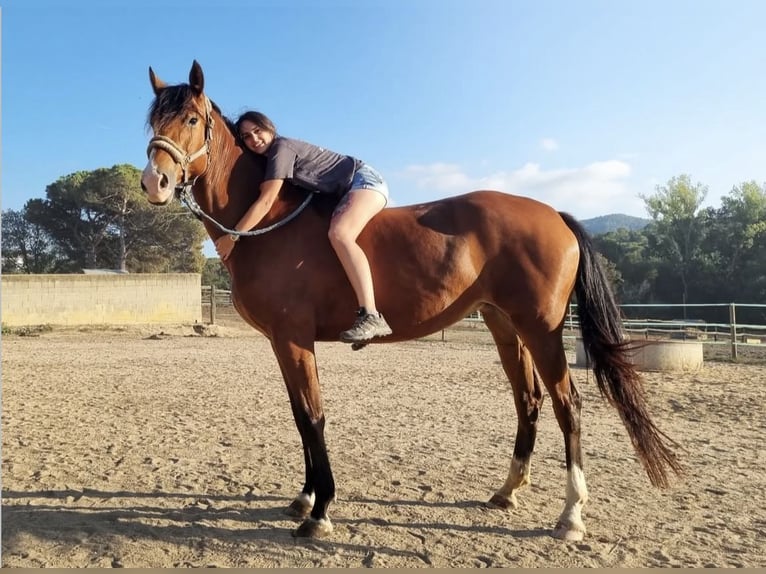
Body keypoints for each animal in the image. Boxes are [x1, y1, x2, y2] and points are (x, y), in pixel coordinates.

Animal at [140, 61, 681, 540]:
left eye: (191, 120)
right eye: (153, 121)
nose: (154, 182)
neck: (270, 223)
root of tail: (553, 213)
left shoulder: (293, 339)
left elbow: (313, 415)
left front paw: (320, 511)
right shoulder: (283, 342)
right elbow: (300, 416)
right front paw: (305, 497)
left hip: (542, 329)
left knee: (569, 405)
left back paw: (570, 516)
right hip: (505, 326)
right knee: (528, 400)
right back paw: (507, 491)